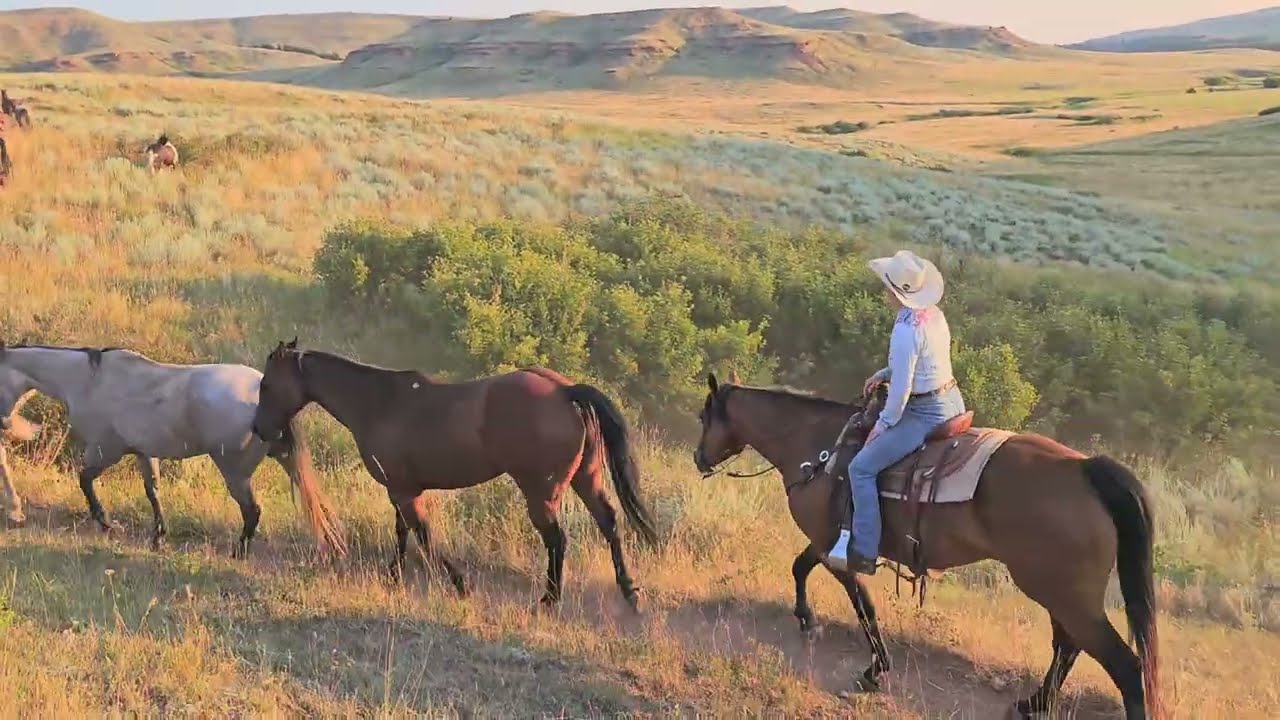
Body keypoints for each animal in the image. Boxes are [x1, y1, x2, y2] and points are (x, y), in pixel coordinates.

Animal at [0, 343, 345, 558]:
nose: (5, 424)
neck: (89, 380)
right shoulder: (142, 452)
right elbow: (152, 491)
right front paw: (158, 537)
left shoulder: (105, 450)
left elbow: (84, 480)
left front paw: (107, 524)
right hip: (282, 460)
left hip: (235, 472)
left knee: (253, 510)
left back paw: (240, 552)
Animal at [249, 339, 660, 609]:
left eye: (266, 384)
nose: (259, 429)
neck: (379, 403)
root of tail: (564, 391)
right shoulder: (401, 489)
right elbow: (403, 533)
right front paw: (393, 577)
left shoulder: (404, 491)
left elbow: (424, 535)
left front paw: (460, 584)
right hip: (586, 479)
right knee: (609, 523)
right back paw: (630, 592)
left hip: (541, 493)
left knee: (558, 539)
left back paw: (550, 598)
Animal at [692, 373, 1161, 720]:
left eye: (702, 415)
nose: (699, 458)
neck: (819, 448)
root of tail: (1085, 468)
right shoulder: (827, 542)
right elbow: (801, 567)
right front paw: (808, 620)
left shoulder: (837, 547)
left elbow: (861, 604)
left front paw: (874, 668)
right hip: (1058, 592)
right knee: (1068, 645)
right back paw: (1034, 703)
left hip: (1062, 592)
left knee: (1123, 664)